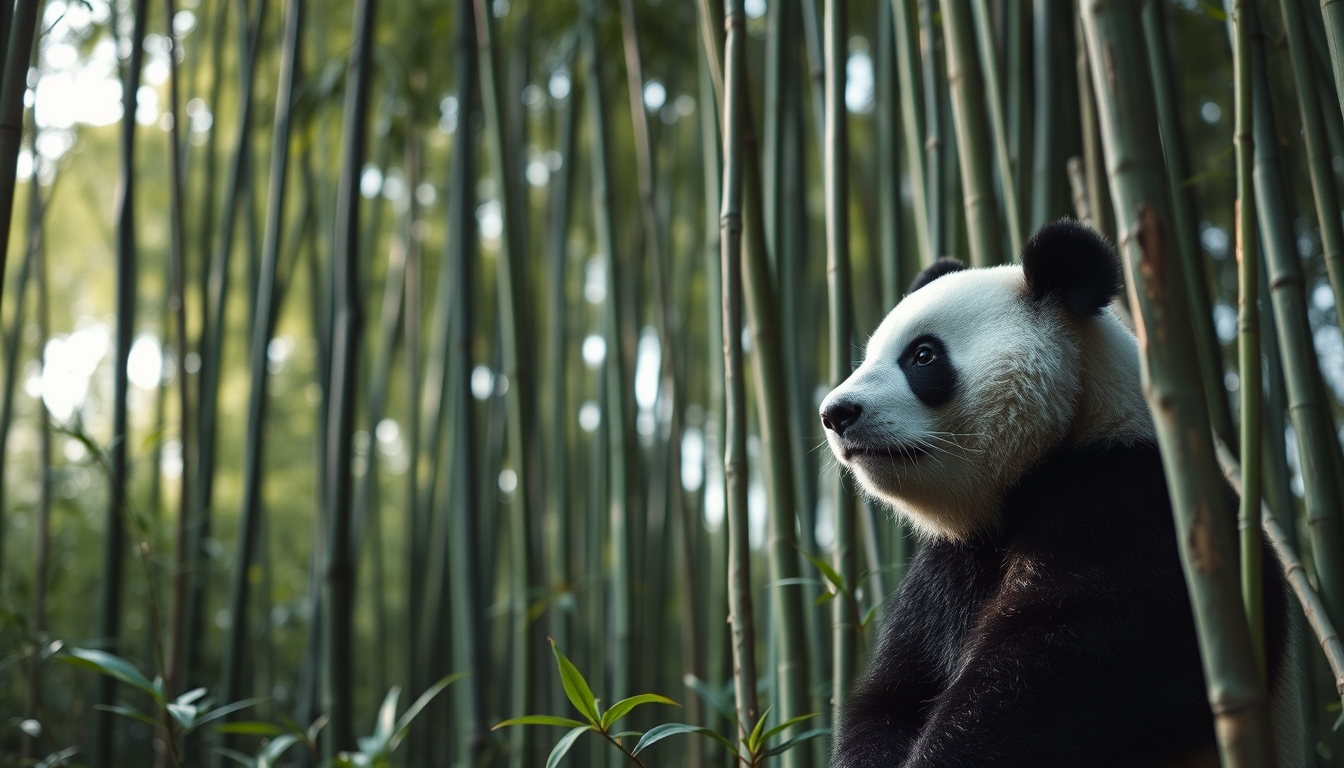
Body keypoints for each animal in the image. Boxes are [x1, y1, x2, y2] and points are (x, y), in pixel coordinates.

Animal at [819, 220, 1291, 768]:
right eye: (868, 357)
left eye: (922, 356)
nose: (835, 413)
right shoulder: (945, 570)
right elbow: (893, 694)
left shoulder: (1133, 509)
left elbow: (1049, 678)